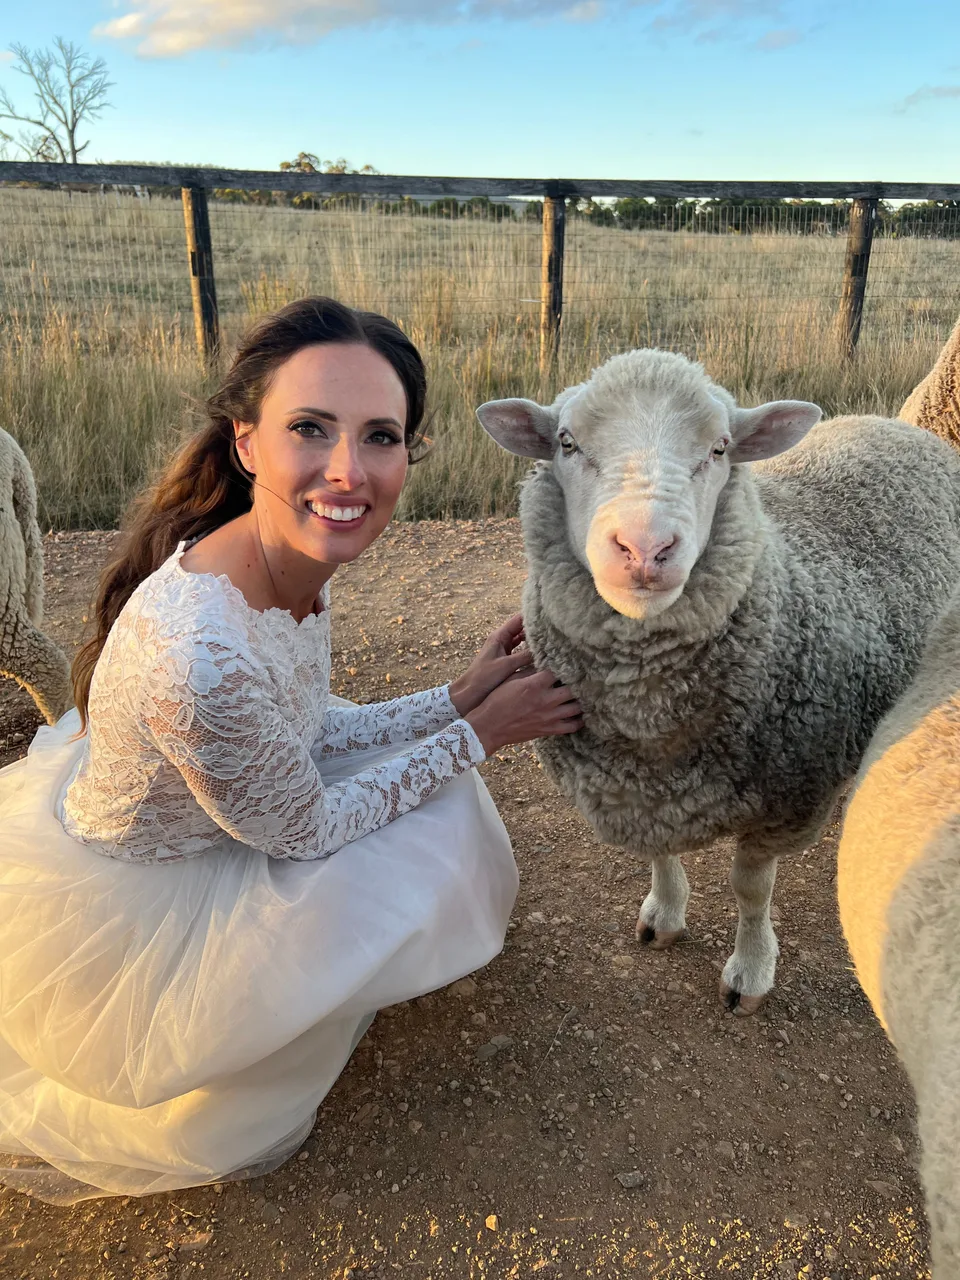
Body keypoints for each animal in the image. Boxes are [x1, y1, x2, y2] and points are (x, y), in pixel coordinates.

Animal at [476, 348, 960, 1013]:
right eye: (566, 443)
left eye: (721, 447)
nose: (645, 548)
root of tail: (892, 424)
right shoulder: (634, 790)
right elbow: (658, 854)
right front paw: (664, 916)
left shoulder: (779, 805)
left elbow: (750, 891)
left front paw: (750, 972)